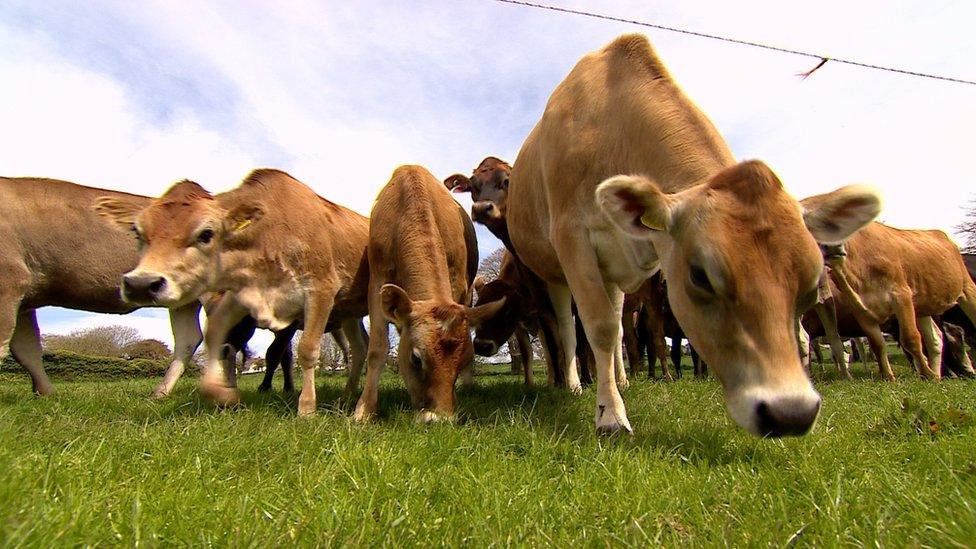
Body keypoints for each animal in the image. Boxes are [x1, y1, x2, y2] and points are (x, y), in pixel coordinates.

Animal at [0, 178, 212, 396]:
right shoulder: (26, 298)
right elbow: (26, 349)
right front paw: (46, 394)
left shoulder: (10, 281)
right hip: (184, 301)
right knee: (188, 339)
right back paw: (160, 393)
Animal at [96, 169, 370, 414]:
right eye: (137, 232)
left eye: (206, 233)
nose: (141, 284)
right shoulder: (242, 295)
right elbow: (215, 334)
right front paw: (220, 392)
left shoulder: (320, 290)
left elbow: (308, 350)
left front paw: (307, 409)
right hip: (350, 313)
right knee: (360, 347)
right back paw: (347, 395)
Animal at [352, 165, 504, 422]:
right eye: (416, 359)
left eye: (462, 360)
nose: (439, 419)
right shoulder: (377, 282)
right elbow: (377, 349)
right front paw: (364, 410)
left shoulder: (459, 283)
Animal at [500, 34, 880, 436]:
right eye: (700, 276)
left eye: (810, 285)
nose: (790, 413)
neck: (609, 129)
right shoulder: (572, 237)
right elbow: (598, 327)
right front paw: (611, 416)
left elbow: (612, 328)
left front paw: (614, 396)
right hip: (553, 271)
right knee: (568, 326)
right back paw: (574, 384)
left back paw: (622, 380)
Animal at [816, 223, 976, 382]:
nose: (832, 246)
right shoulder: (860, 311)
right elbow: (877, 344)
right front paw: (888, 377)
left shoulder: (901, 296)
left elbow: (910, 338)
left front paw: (926, 373)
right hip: (922, 308)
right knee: (934, 340)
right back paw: (936, 376)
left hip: (967, 289)